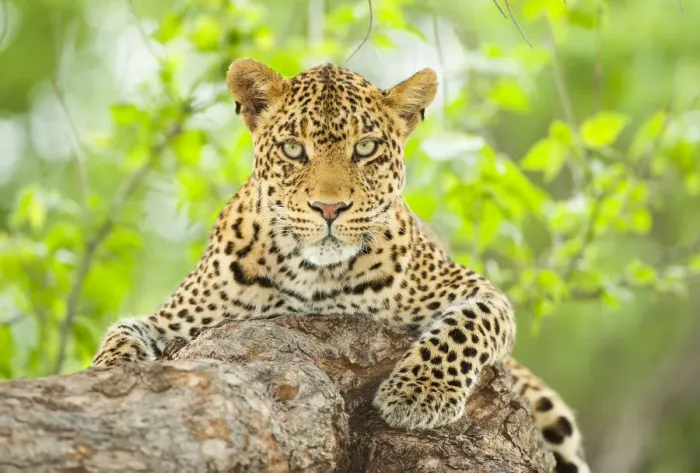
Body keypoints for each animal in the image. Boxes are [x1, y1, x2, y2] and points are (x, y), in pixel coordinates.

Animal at [92, 58, 590, 473]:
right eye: (294, 150)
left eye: (365, 148)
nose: (328, 208)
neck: (313, 276)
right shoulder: (170, 317)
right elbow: (116, 341)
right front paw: (109, 378)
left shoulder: (474, 288)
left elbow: (467, 325)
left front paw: (417, 393)